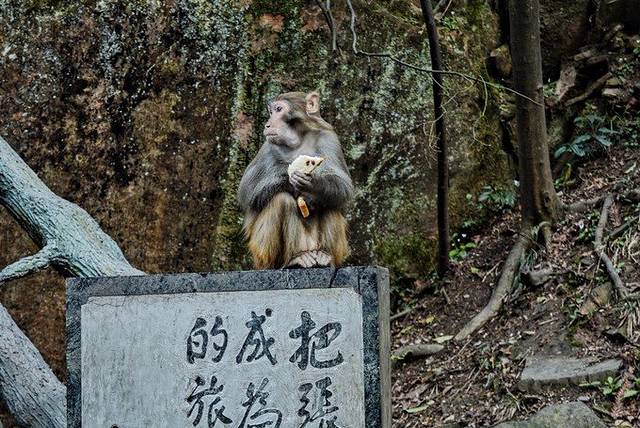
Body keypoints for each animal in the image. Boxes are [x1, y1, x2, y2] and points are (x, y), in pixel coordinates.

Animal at [237, 91, 353, 269]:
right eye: (271, 112)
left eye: (279, 110)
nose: (267, 124)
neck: (298, 141)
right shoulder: (267, 147)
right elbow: (247, 190)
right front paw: (289, 178)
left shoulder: (329, 139)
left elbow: (343, 185)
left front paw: (314, 186)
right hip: (261, 256)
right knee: (281, 200)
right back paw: (295, 259)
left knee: (331, 203)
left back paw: (324, 256)